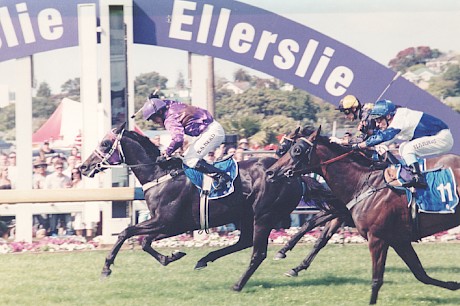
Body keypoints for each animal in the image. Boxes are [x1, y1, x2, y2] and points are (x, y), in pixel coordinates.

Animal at [78, 122, 306, 292]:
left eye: (105, 143)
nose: (83, 167)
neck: (160, 175)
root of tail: (294, 176)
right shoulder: (172, 225)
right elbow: (145, 242)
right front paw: (170, 256)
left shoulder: (165, 221)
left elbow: (126, 232)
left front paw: (106, 268)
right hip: (246, 216)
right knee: (244, 242)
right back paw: (204, 259)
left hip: (264, 216)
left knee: (258, 253)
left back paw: (237, 285)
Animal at [264, 126, 460, 304]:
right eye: (286, 147)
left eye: (295, 150)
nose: (270, 172)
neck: (363, 183)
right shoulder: (396, 238)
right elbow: (420, 273)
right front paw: (291, 261)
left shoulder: (375, 237)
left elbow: (377, 280)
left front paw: (286, 254)